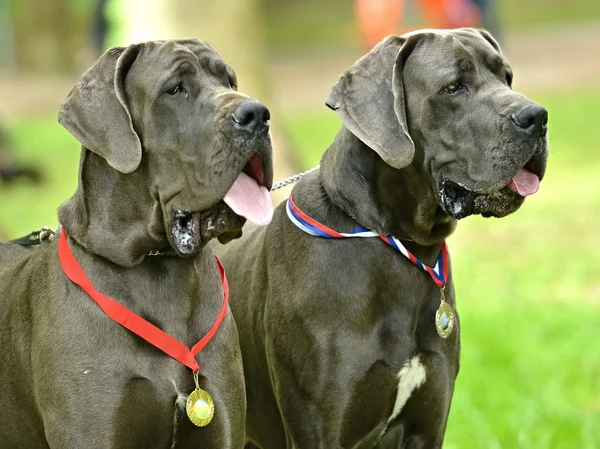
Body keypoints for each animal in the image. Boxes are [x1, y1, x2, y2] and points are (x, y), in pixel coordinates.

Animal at [216, 28, 548, 448]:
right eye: (453, 86)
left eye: (507, 77)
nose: (538, 117)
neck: (396, 245)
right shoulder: (319, 429)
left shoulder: (428, 427)